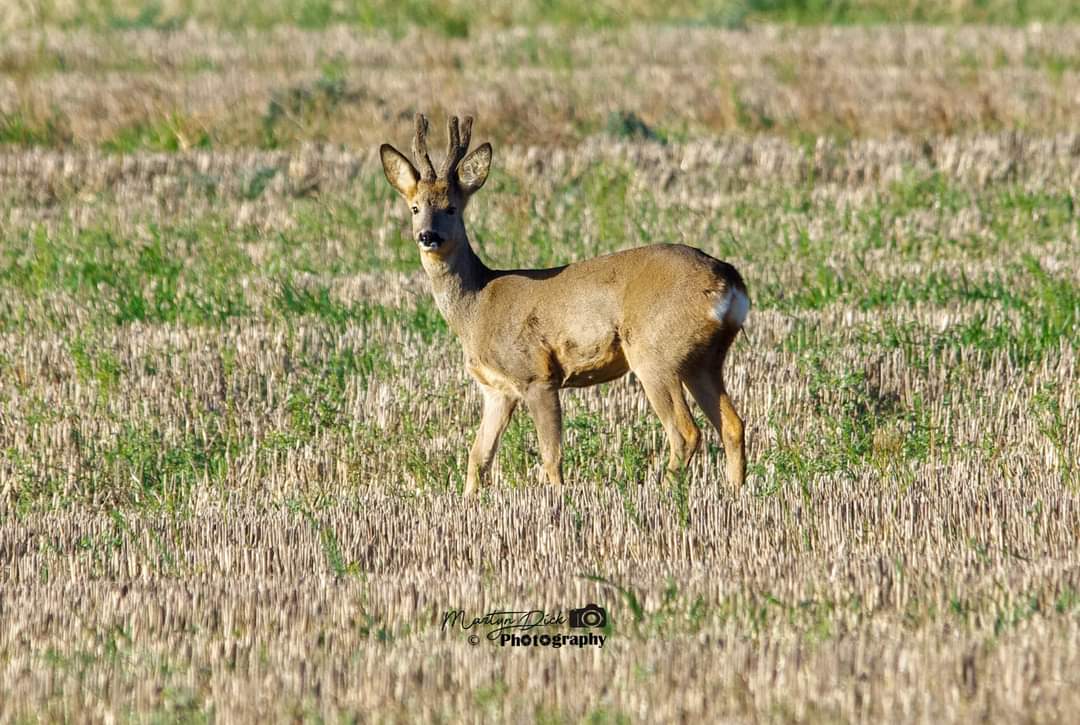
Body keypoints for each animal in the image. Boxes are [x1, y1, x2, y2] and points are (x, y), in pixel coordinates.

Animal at [379, 114, 750, 497]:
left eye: (451, 207)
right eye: (415, 207)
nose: (428, 236)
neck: (476, 306)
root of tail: (728, 279)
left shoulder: (536, 374)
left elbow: (550, 456)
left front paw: (556, 501)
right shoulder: (496, 389)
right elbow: (478, 458)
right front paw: (468, 501)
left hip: (655, 352)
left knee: (685, 431)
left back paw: (661, 491)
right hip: (703, 358)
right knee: (733, 425)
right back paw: (735, 493)